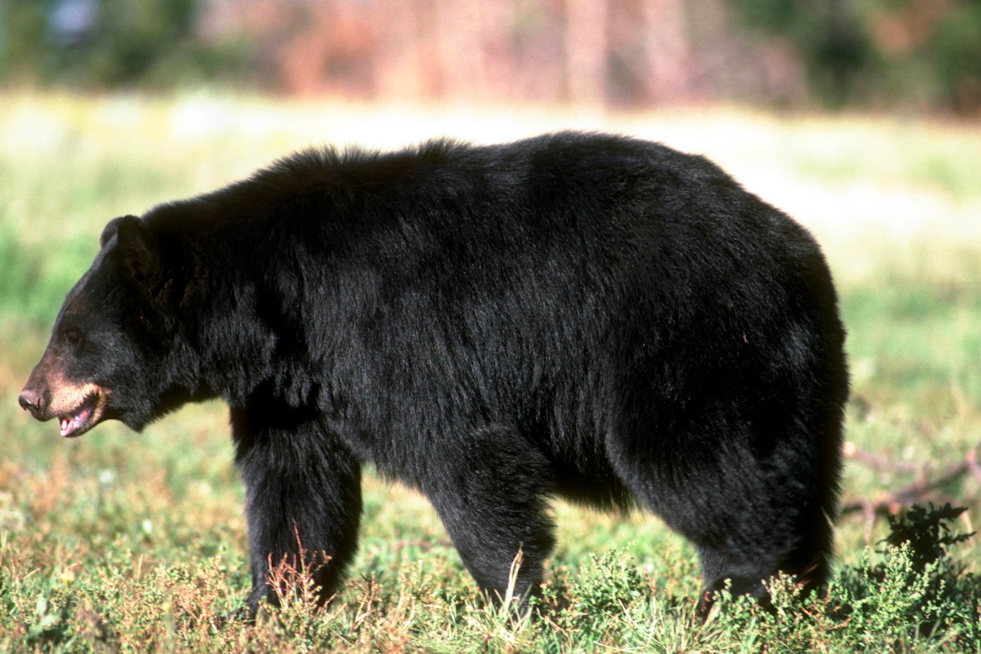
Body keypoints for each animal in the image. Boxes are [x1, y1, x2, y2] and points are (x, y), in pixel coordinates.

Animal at [19, 132, 848, 618]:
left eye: (72, 335)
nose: (30, 395)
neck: (281, 306)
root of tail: (796, 250)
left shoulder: (395, 333)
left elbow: (465, 457)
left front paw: (513, 605)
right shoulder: (291, 392)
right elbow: (296, 491)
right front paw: (264, 606)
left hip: (686, 341)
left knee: (703, 468)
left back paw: (734, 598)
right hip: (793, 378)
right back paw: (798, 594)